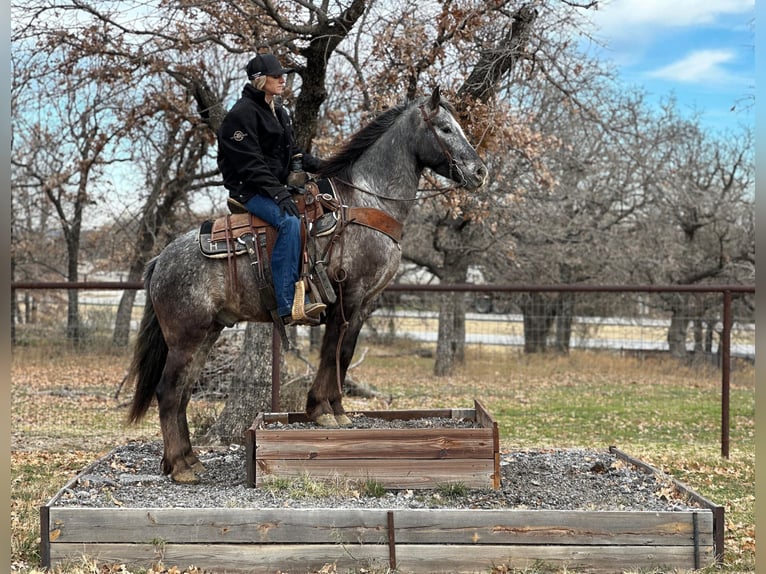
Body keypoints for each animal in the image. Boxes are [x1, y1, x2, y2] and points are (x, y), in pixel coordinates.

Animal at [125, 89, 486, 486]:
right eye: (445, 128)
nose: (479, 171)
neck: (365, 202)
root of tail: (161, 260)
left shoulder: (363, 305)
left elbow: (344, 354)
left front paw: (337, 409)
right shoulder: (347, 296)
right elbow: (331, 351)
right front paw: (322, 410)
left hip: (208, 332)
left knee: (184, 390)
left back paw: (189, 459)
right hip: (186, 335)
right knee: (169, 391)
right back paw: (180, 466)